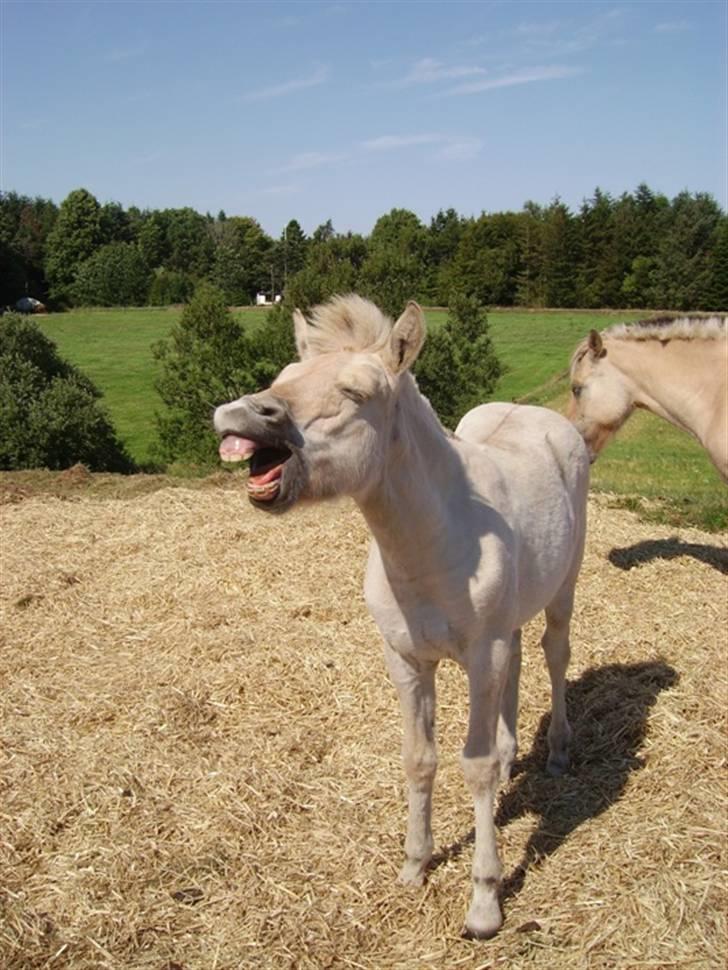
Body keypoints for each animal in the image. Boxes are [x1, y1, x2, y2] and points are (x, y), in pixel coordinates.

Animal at [213, 296, 588, 936]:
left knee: (554, 656)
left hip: (562, 590)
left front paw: (484, 901)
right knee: (517, 665)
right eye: (285, 376)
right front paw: (415, 864)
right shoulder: (408, 660)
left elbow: (474, 766)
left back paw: (558, 751)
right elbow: (420, 759)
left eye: (355, 391)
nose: (239, 417)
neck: (433, 544)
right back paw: (514, 759)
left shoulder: (479, 655)